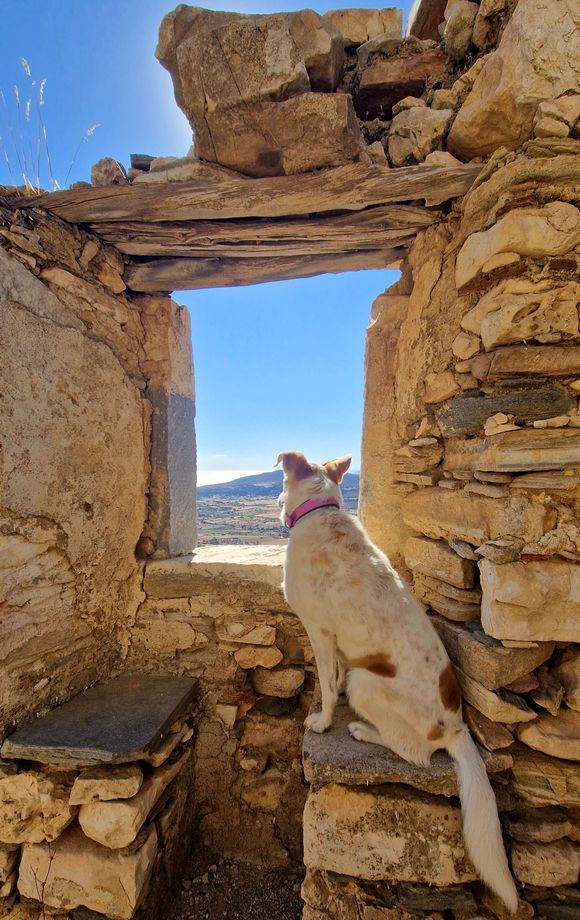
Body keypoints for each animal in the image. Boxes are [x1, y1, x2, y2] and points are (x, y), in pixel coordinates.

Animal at [276, 450, 516, 908]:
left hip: (367, 684)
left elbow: (328, 684)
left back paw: (362, 730)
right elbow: (333, 675)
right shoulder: (337, 643)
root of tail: (457, 728)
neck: (319, 511)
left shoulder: (320, 631)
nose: (278, 504)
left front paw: (323, 720)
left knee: (413, 753)